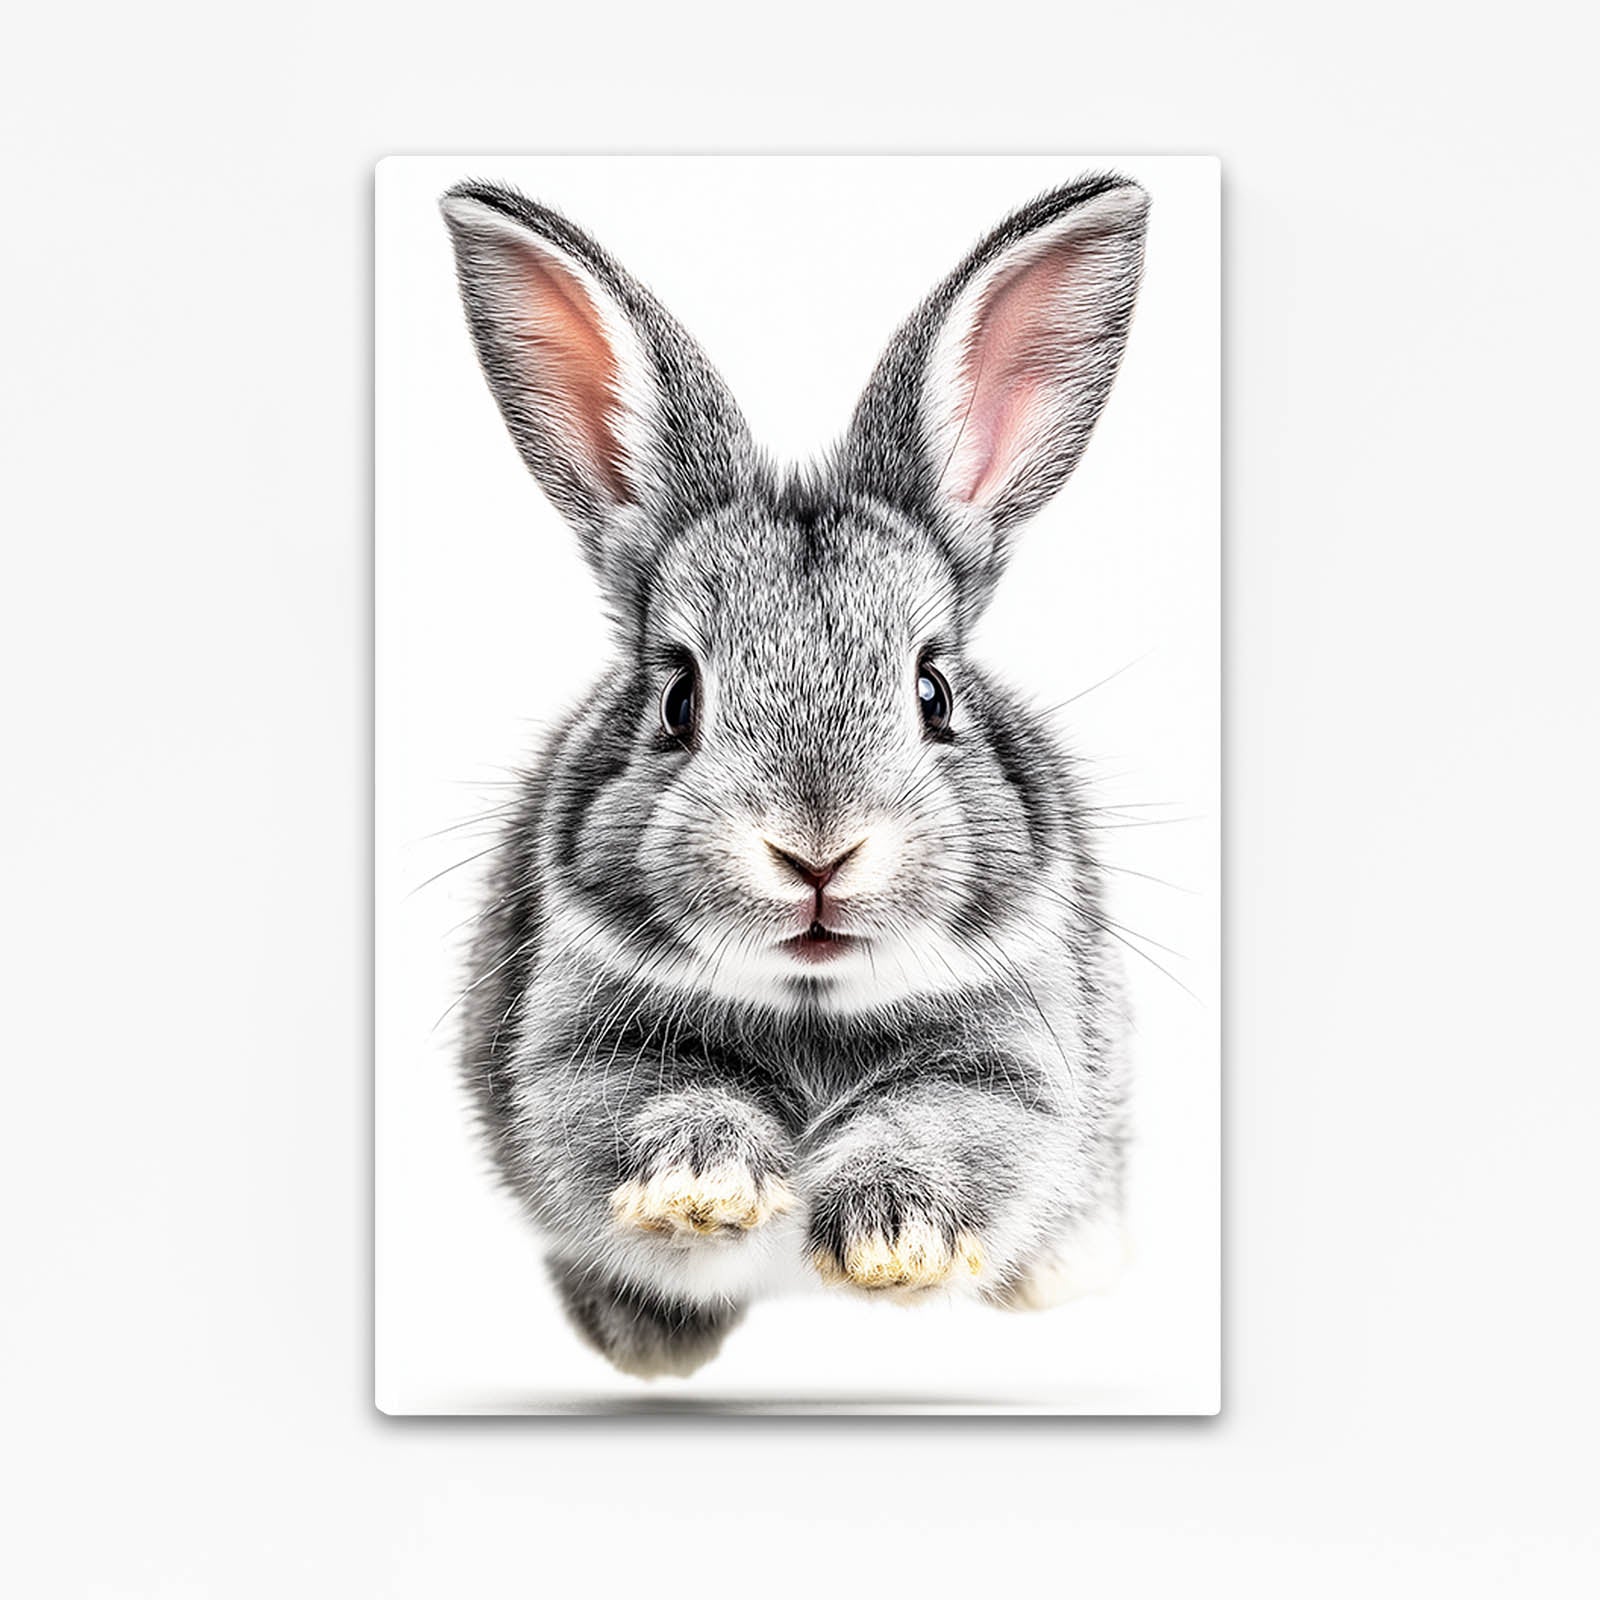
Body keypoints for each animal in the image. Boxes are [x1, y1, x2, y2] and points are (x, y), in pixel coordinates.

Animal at [440, 171, 1149, 1377]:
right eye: (678, 699)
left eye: (933, 691)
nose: (817, 852)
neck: (809, 1004)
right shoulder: (572, 1065)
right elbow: (650, 1108)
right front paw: (701, 1189)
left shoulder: (1016, 1073)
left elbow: (947, 1124)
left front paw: (892, 1246)